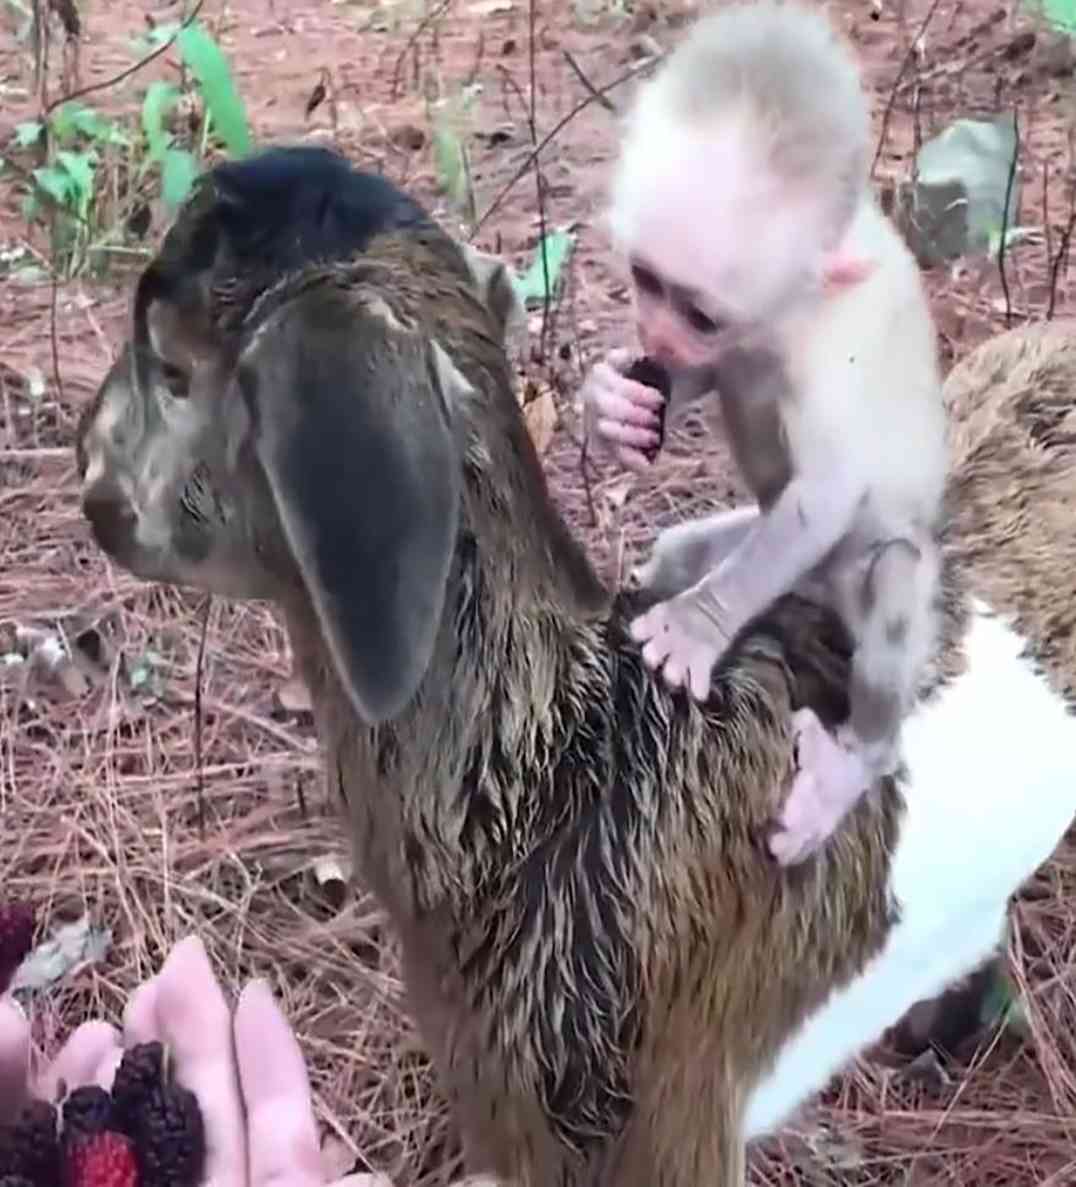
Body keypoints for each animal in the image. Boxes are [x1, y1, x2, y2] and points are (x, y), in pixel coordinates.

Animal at [582, 0, 949, 866]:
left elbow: (824, 495)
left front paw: (693, 629)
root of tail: (818, 595)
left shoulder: (832, 357)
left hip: (859, 567)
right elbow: (692, 383)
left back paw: (855, 762)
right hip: (781, 567)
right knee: (680, 553)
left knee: (889, 578)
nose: (656, 332)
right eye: (646, 282)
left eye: (700, 312)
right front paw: (615, 401)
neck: (789, 315)